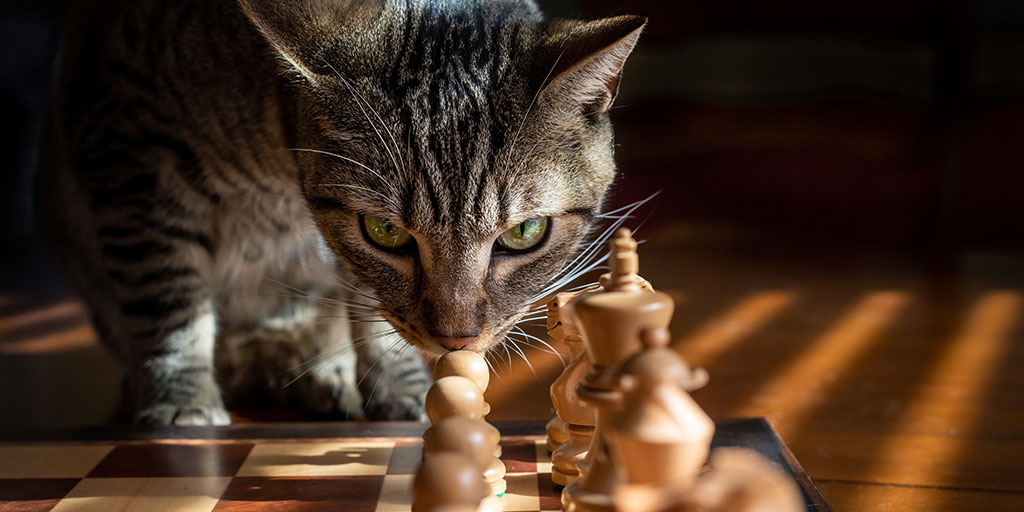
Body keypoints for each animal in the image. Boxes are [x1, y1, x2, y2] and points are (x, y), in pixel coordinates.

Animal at [37, 0, 647, 423]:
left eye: (525, 232)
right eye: (385, 232)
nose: (455, 341)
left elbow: (372, 311)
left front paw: (400, 388)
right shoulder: (130, 153)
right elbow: (168, 303)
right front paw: (180, 400)